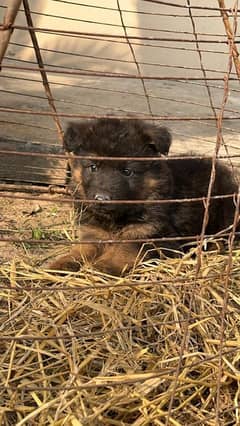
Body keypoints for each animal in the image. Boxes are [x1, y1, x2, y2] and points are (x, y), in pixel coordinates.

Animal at [49, 118, 239, 274]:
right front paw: (63, 263)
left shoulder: (153, 235)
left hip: (226, 212)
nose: (101, 199)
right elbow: (81, 250)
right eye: (93, 167)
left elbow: (128, 248)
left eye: (127, 171)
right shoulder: (93, 233)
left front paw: (106, 265)